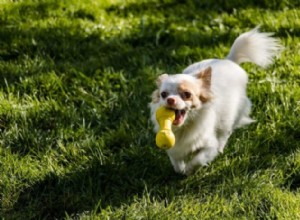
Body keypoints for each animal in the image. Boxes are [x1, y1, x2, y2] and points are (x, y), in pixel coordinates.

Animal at [150, 27, 284, 175]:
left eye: (187, 94)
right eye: (163, 94)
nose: (170, 99)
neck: (185, 127)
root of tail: (229, 60)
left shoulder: (209, 145)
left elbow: (198, 159)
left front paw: (189, 170)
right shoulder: (175, 148)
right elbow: (176, 162)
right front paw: (181, 169)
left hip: (230, 118)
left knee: (225, 134)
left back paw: (220, 148)